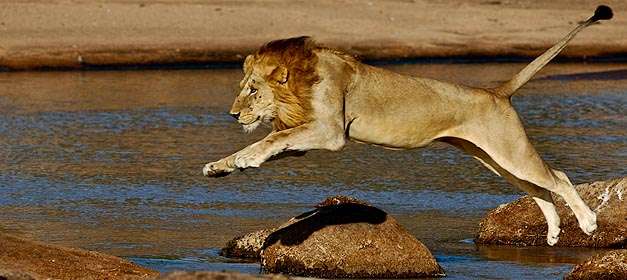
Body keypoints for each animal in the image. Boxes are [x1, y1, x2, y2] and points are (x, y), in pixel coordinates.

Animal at [205, 4, 612, 245]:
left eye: (253, 90)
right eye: (242, 87)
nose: (233, 115)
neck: (301, 83)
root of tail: (496, 92)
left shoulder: (330, 132)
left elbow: (271, 140)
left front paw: (243, 160)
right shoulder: (305, 136)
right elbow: (271, 142)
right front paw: (221, 166)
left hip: (510, 152)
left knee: (558, 177)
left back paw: (588, 223)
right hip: (494, 159)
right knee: (538, 188)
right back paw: (555, 231)